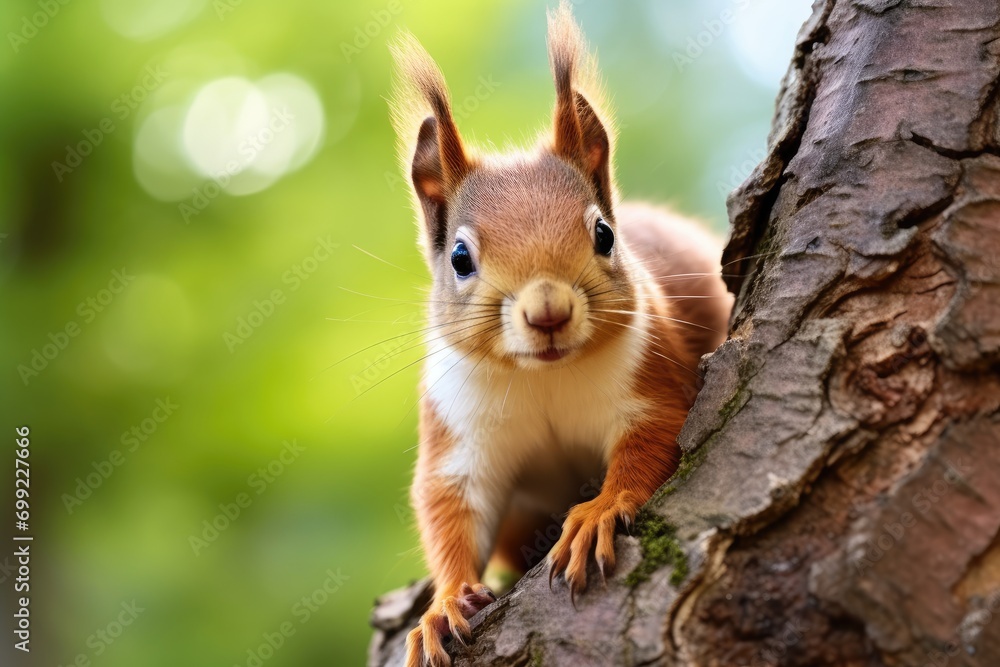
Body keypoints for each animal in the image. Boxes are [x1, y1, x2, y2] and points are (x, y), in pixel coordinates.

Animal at [388, 2, 733, 665]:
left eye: (603, 234)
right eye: (460, 258)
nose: (547, 312)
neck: (540, 377)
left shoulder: (651, 376)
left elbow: (651, 442)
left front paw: (597, 513)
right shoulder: (455, 428)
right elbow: (450, 509)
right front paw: (442, 606)